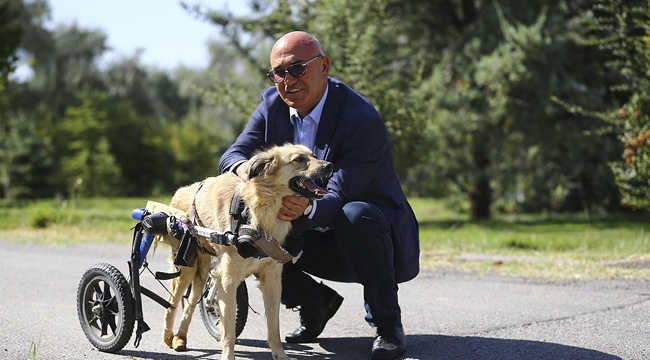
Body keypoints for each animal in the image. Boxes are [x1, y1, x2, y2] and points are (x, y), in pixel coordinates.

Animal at [159, 145, 330, 360]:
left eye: (314, 156)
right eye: (298, 159)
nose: (329, 166)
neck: (258, 212)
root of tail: (180, 191)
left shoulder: (272, 280)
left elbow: (274, 328)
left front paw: (280, 355)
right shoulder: (228, 280)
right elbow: (229, 331)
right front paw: (228, 355)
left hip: (202, 270)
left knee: (190, 302)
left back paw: (180, 337)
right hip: (187, 267)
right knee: (172, 303)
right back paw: (169, 336)